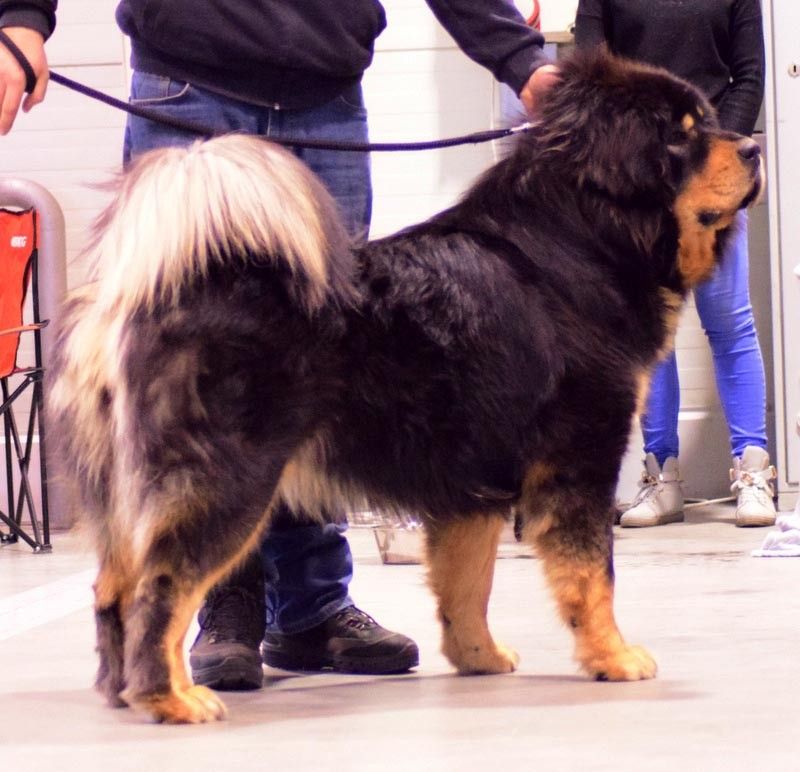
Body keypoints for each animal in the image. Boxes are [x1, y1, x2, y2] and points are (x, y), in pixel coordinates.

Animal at [48, 50, 763, 723]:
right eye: (680, 137)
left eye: (708, 120)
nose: (754, 149)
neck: (581, 242)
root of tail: (138, 295)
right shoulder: (577, 459)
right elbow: (593, 576)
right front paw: (612, 657)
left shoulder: (472, 481)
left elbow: (466, 585)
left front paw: (479, 659)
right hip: (230, 481)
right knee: (160, 587)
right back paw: (170, 698)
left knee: (112, 592)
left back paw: (123, 694)